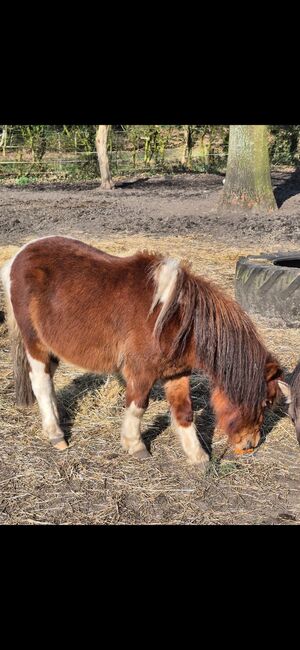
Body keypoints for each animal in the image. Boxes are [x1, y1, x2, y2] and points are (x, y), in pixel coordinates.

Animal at [0, 235, 282, 464]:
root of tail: (19, 255)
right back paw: (56, 434)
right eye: (266, 401)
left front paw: (198, 457)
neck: (175, 320)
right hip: (34, 342)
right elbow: (138, 406)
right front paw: (135, 446)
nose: (251, 446)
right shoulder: (142, 372)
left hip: (53, 347)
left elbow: (184, 412)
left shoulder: (176, 373)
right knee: (41, 382)